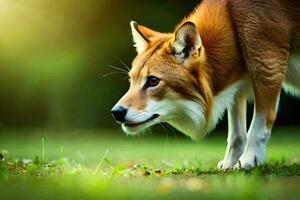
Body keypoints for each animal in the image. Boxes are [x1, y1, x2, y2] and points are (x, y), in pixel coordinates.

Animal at [110, 0, 300, 169]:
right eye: (131, 80)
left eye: (153, 81)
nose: (116, 112)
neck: (232, 22)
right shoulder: (237, 86)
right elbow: (236, 133)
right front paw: (231, 163)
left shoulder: (268, 66)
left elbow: (259, 123)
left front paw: (250, 160)